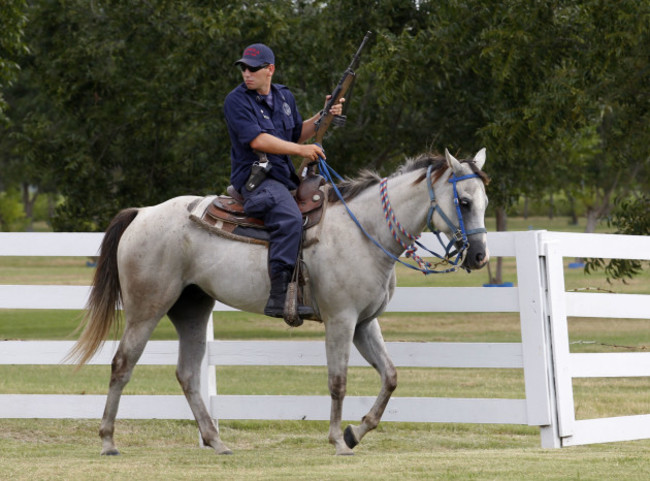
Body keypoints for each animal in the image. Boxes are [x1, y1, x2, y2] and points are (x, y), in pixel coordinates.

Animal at [68, 148, 490, 456]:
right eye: (464, 201)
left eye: (485, 200)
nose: (480, 256)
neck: (363, 231)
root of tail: (142, 213)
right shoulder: (341, 321)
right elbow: (338, 381)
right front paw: (338, 441)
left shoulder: (364, 324)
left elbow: (390, 377)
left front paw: (355, 433)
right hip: (146, 309)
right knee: (122, 365)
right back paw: (108, 440)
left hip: (192, 309)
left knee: (187, 374)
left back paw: (216, 442)